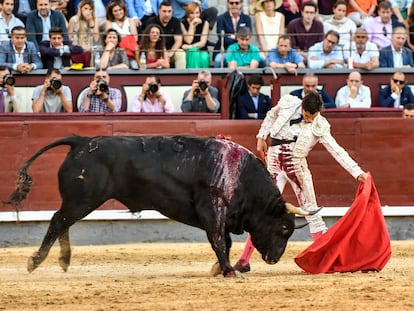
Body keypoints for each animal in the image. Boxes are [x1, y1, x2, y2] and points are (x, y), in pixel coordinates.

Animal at [4, 136, 316, 278]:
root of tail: (81, 140)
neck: (240, 175)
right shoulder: (213, 209)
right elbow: (219, 240)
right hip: (84, 199)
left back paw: (64, 260)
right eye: (284, 228)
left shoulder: (222, 215)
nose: (275, 259)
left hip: (79, 200)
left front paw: (220, 267)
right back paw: (36, 261)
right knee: (59, 220)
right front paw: (229, 270)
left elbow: (224, 241)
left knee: (64, 222)